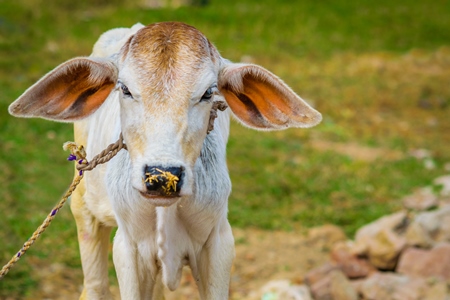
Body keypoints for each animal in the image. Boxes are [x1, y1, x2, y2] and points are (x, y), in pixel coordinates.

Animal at [8, 22, 322, 298]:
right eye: (124, 89)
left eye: (208, 92)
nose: (160, 176)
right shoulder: (128, 248)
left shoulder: (219, 243)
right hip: (83, 207)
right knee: (94, 287)